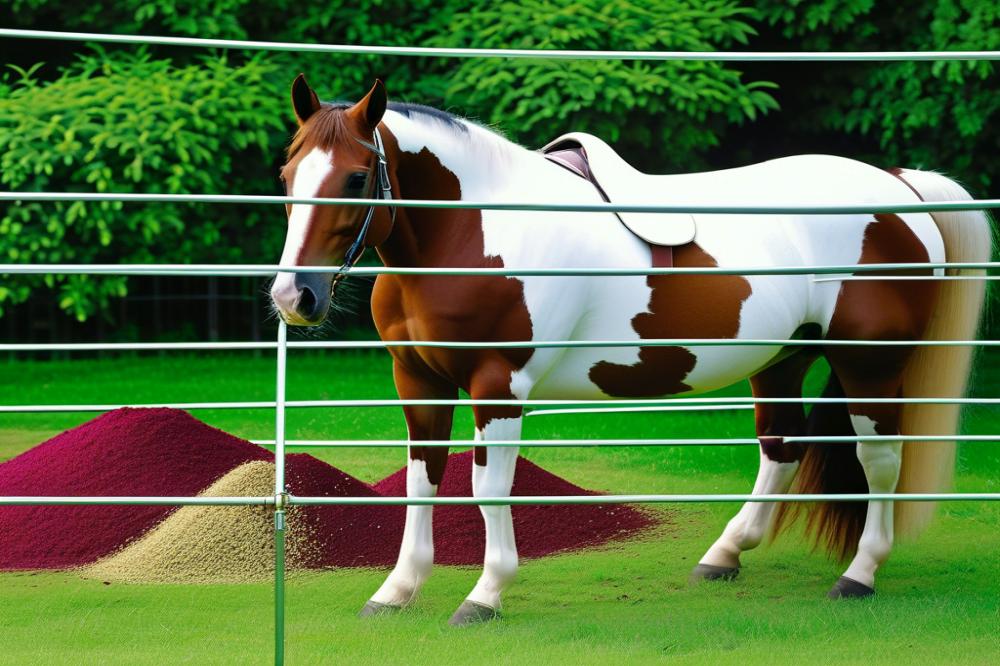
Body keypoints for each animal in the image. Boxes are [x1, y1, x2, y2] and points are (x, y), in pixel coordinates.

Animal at [270, 76, 988, 624]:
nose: (294, 295)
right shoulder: (419, 382)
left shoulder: (499, 386)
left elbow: (488, 488)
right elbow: (424, 479)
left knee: (880, 460)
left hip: (868, 362)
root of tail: (899, 186)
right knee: (781, 447)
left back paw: (859, 574)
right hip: (784, 360)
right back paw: (725, 554)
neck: (475, 231)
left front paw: (485, 594)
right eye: (287, 173)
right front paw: (396, 591)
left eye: (357, 177)